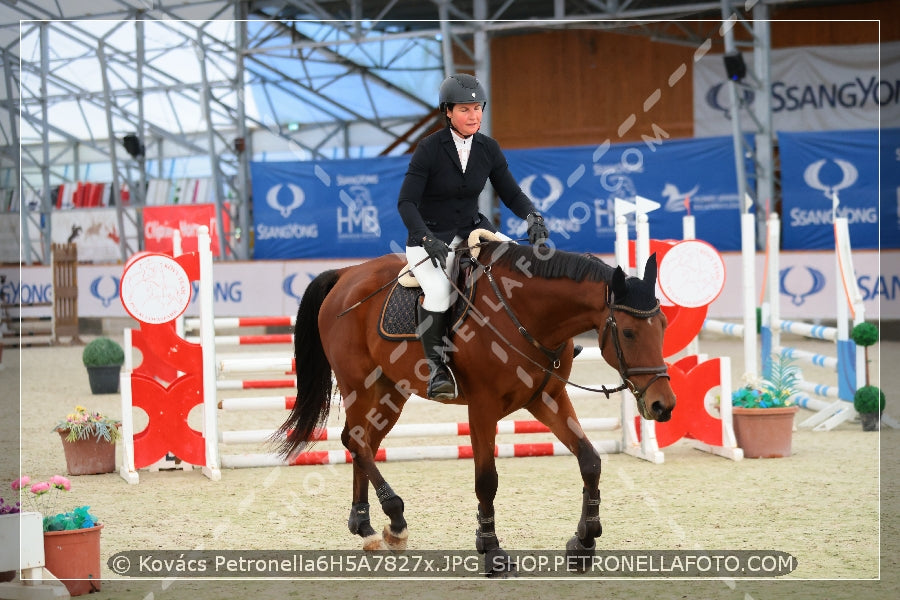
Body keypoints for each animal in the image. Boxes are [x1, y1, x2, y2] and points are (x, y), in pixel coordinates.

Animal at [274, 240, 676, 576]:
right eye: (628, 332)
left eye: (663, 325)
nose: (663, 405)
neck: (525, 316)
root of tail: (346, 275)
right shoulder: (483, 407)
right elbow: (487, 479)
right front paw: (491, 549)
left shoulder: (547, 398)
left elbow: (590, 461)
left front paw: (584, 542)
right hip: (361, 385)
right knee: (355, 441)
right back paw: (395, 520)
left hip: (392, 392)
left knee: (364, 443)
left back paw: (366, 525)